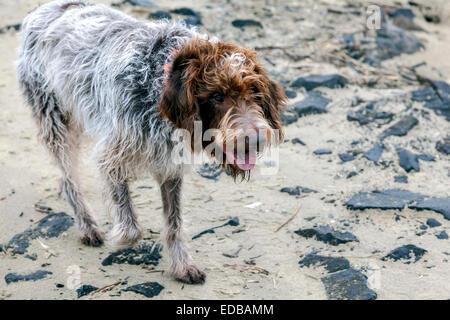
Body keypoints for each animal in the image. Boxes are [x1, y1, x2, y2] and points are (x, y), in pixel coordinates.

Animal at [17, 0, 286, 284]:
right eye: (217, 96)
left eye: (255, 92)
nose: (256, 140)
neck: (158, 80)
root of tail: (45, 8)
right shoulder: (112, 154)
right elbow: (131, 226)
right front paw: (122, 235)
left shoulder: (170, 167)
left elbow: (174, 223)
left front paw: (181, 265)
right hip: (53, 119)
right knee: (69, 178)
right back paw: (87, 224)